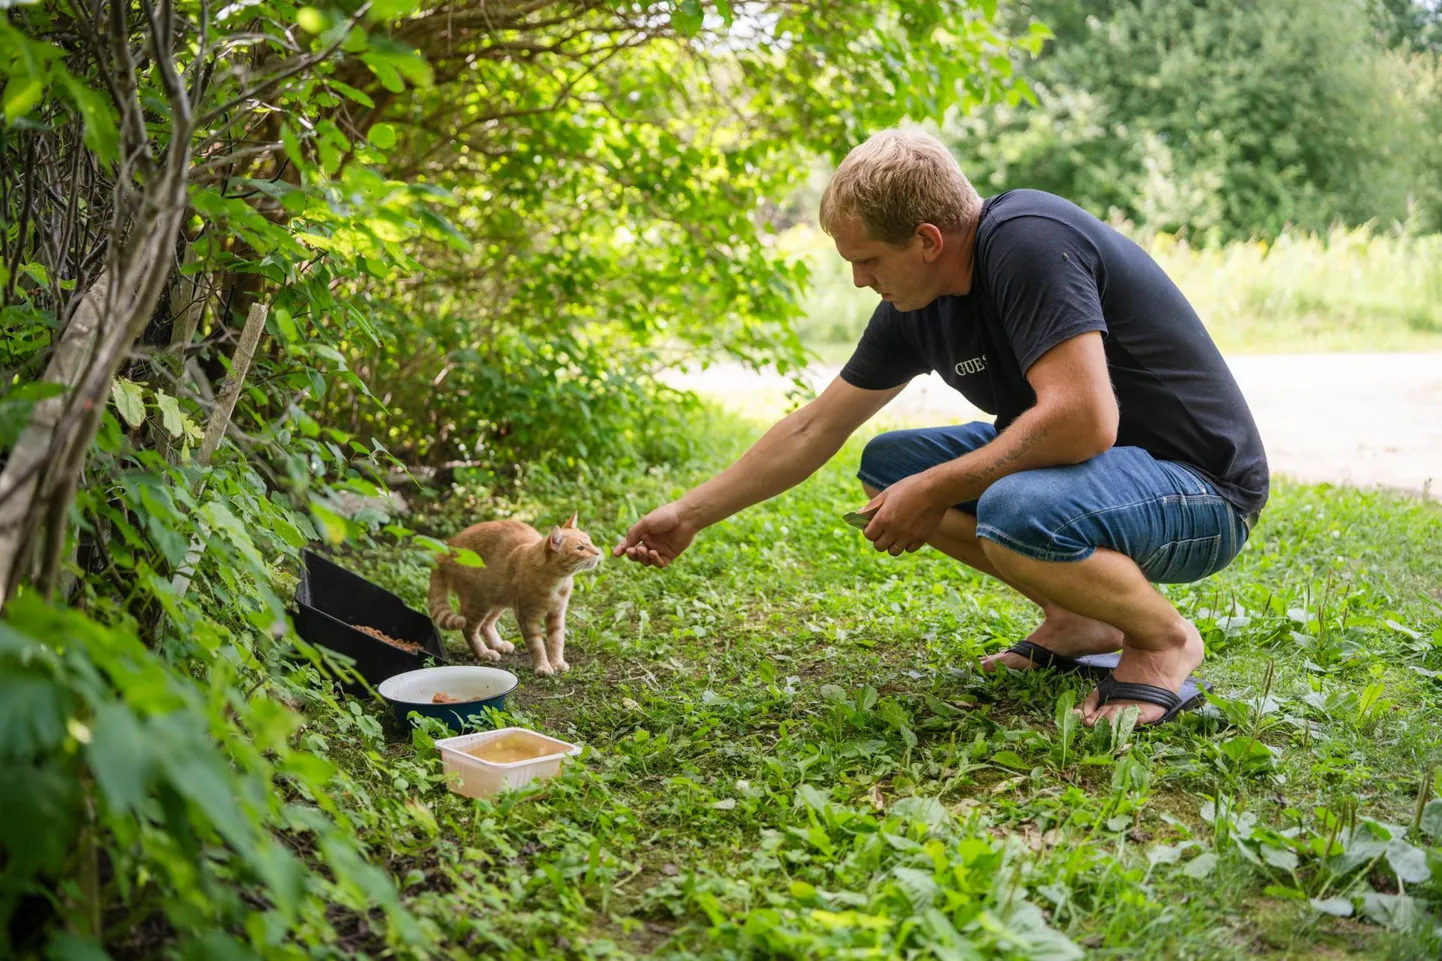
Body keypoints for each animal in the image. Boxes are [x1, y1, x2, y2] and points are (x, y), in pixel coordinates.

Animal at [421, 507, 602, 672]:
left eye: (590, 541)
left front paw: (556, 662)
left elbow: (556, 641)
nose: (598, 552)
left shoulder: (556, 614)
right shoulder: (526, 617)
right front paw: (543, 666)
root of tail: (445, 550)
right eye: (580, 548)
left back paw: (498, 645)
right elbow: (536, 645)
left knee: (486, 625)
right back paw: (484, 653)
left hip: (498, 600)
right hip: (478, 604)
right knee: (469, 628)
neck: (556, 582)